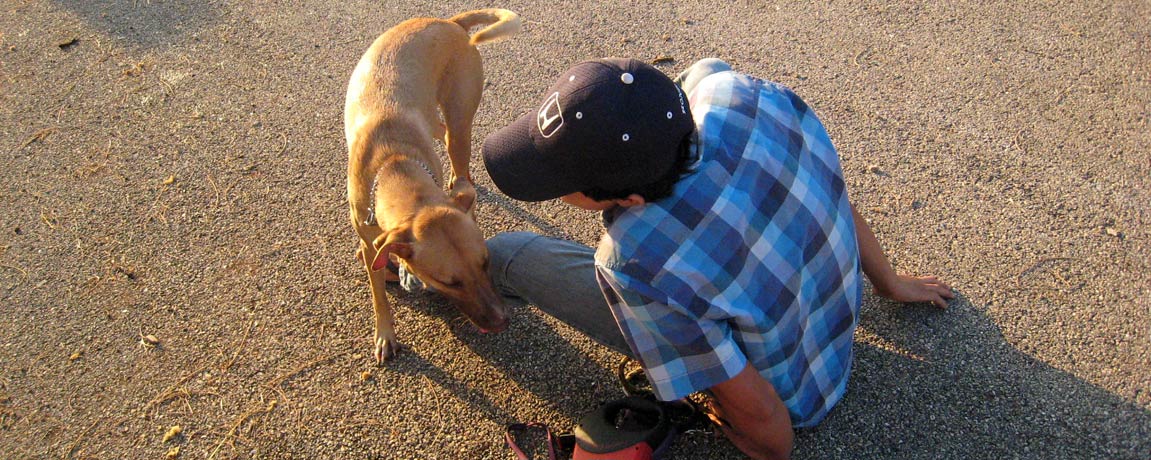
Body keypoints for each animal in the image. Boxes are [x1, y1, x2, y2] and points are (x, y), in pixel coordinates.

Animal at [342, 8, 520, 365]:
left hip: (459, 123)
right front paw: (385, 334)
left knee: (457, 151)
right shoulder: (371, 244)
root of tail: (449, 21)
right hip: (440, 121)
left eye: (485, 262)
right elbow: (378, 294)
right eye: (448, 281)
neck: (393, 164)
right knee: (439, 131)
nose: (502, 321)